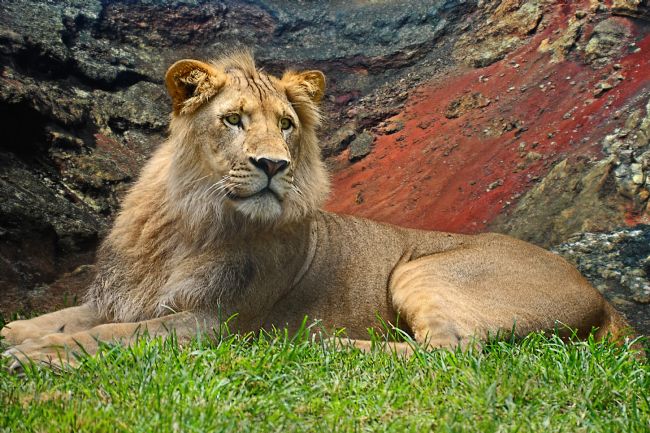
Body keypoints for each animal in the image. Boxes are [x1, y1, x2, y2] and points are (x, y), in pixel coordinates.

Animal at [1, 53, 634, 370]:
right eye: (233, 119)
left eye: (286, 124)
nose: (272, 164)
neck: (190, 221)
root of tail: (601, 296)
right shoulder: (120, 296)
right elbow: (66, 318)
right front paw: (18, 334)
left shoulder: (214, 322)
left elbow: (113, 336)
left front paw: (36, 355)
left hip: (421, 269)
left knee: (453, 352)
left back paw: (325, 346)